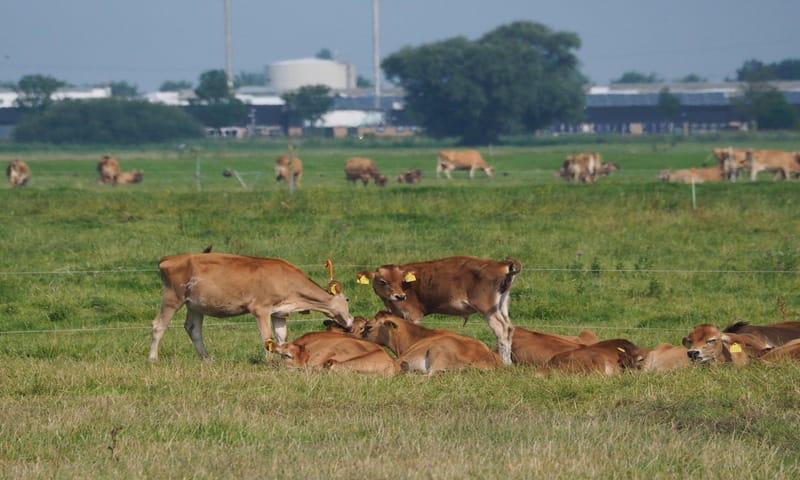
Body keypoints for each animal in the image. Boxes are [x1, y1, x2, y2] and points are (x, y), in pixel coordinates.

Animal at [148, 252, 354, 361]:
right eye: (347, 300)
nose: (351, 323)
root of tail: (169, 258)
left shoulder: (280, 313)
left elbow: (281, 336)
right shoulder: (260, 309)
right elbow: (267, 337)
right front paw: (269, 362)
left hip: (196, 304)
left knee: (193, 328)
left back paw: (206, 358)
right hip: (173, 297)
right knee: (158, 325)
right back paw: (153, 358)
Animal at [356, 255, 521, 365]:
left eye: (401, 281)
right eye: (383, 281)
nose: (400, 296)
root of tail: (500, 263)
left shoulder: (412, 315)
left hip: (488, 309)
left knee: (502, 330)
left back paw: (506, 362)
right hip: (501, 306)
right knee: (509, 328)